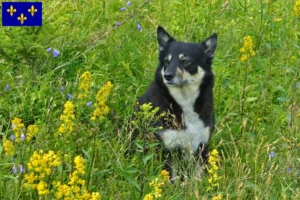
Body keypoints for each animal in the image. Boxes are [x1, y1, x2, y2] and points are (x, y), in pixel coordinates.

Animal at [130, 26, 217, 181]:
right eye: (166, 61)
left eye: (185, 61)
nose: (167, 76)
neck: (184, 103)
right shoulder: (168, 150)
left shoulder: (202, 147)